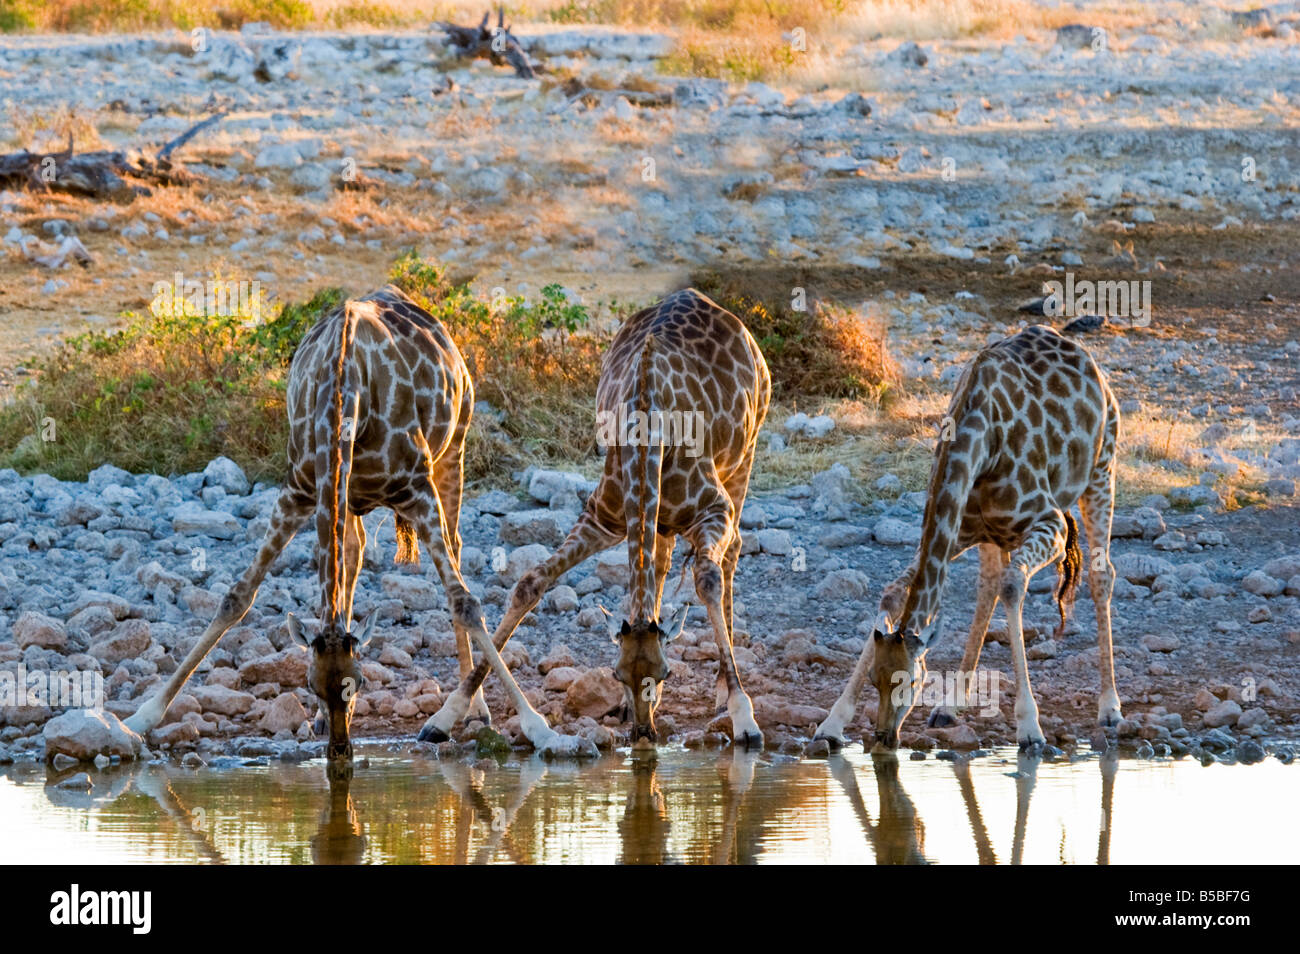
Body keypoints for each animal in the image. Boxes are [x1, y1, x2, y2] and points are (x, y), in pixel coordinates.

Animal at [124, 283, 506, 764]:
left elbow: (465, 602)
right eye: (310, 685)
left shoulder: (416, 490)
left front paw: (522, 721)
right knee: (354, 552)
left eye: (358, 681)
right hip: (349, 494)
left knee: (454, 548)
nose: (340, 751)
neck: (344, 395)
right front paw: (140, 717)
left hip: (454, 449)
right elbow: (236, 597)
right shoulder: (298, 490)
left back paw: (475, 709)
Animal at [418, 287, 769, 748]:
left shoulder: (714, 509)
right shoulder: (602, 517)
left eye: (665, 672)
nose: (643, 732)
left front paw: (744, 716)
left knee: (729, 557)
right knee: (660, 564)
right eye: (617, 673)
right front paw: (445, 715)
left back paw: (721, 693)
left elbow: (708, 579)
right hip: (660, 518)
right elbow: (530, 584)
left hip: (745, 453)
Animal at [816, 327, 1123, 753]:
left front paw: (1030, 727)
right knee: (987, 587)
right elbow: (892, 594)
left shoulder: (1051, 524)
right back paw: (951, 706)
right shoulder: (959, 531)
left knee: (1100, 575)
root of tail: (1087, 359)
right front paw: (831, 723)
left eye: (913, 680)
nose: (885, 737)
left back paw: (1110, 708)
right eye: (875, 679)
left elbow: (1013, 586)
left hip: (1102, 471)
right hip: (996, 534)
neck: (981, 444)